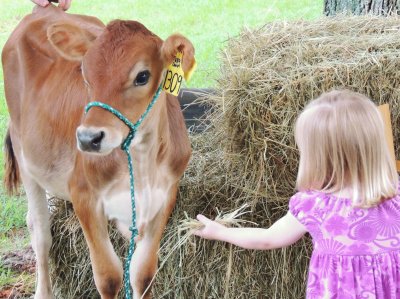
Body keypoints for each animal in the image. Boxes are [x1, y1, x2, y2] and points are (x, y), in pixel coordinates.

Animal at [1, 4, 192, 299]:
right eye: (85, 74)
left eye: (142, 76)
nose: (88, 138)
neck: (142, 162)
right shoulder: (84, 195)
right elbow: (109, 277)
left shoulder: (165, 196)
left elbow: (143, 273)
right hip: (26, 159)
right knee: (40, 232)